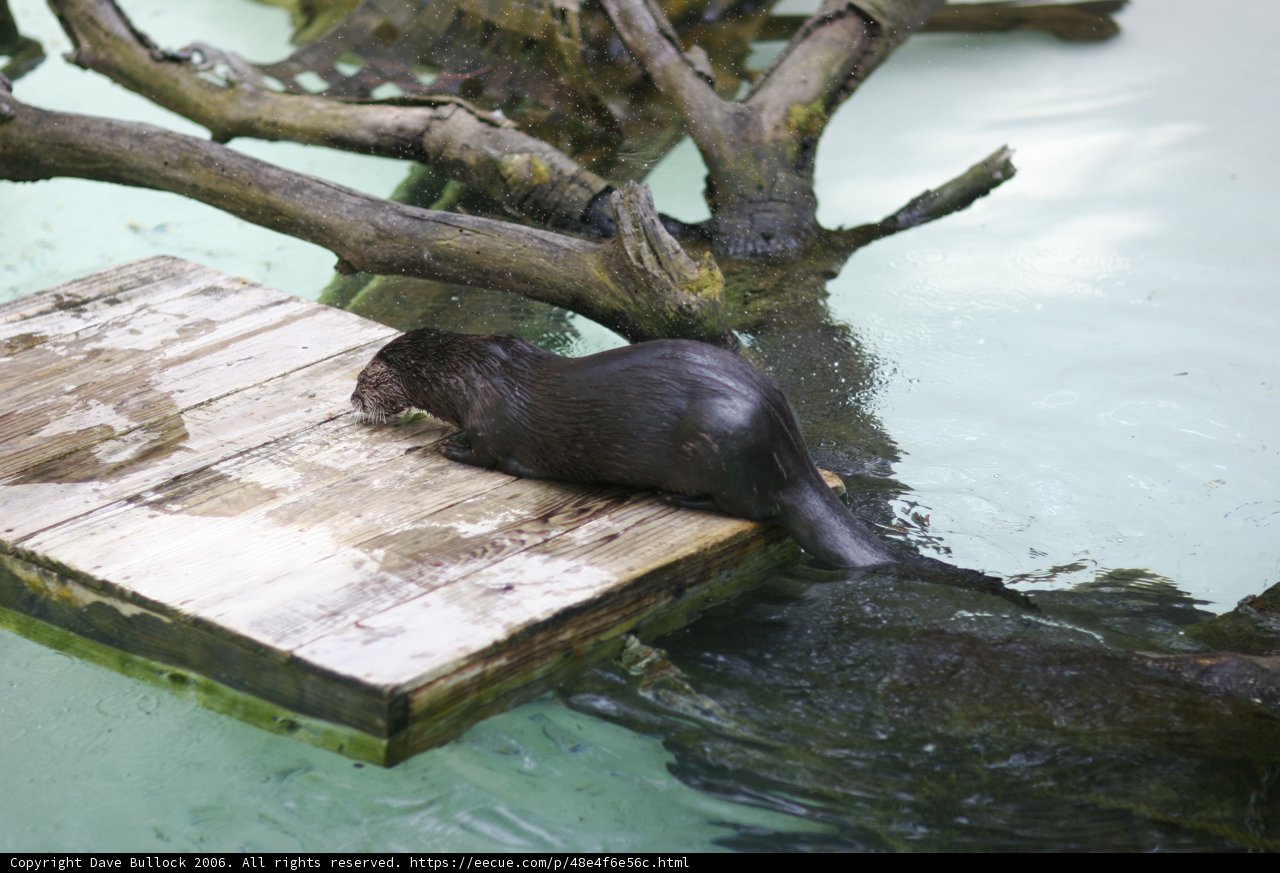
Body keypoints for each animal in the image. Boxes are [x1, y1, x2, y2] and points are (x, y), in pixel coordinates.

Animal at [351, 326, 900, 569]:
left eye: (362, 378)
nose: (353, 399)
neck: (475, 375)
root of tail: (791, 457)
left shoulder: (490, 424)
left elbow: (483, 453)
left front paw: (445, 445)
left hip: (725, 449)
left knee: (752, 509)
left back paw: (677, 498)